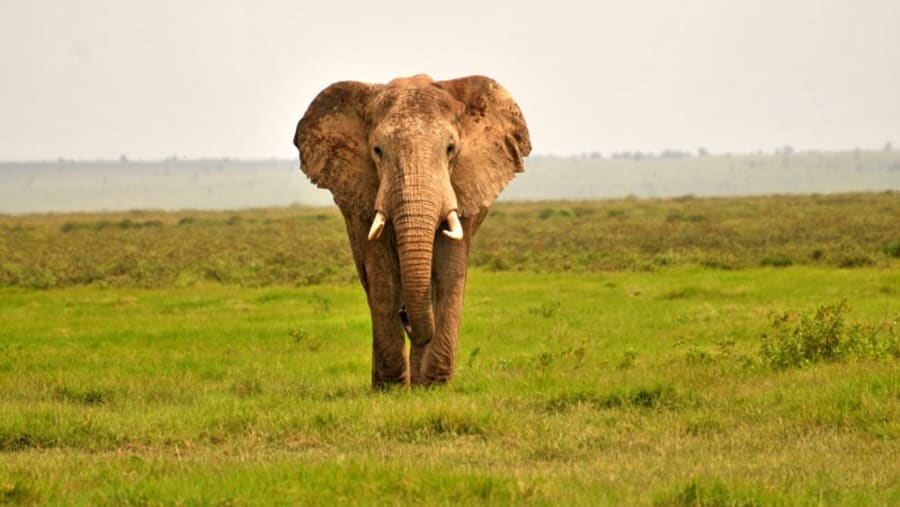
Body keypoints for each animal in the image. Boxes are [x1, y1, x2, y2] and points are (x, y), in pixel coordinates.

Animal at [293, 74, 531, 388]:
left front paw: (435, 386)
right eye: (377, 151)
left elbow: (449, 271)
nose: (405, 315)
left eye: (450, 149)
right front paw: (391, 388)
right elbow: (382, 277)